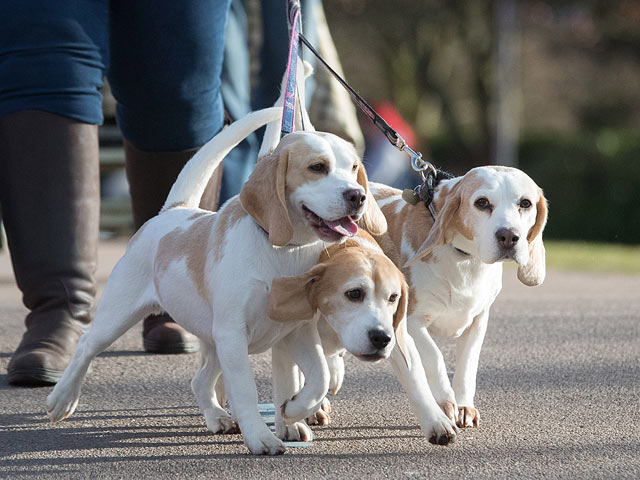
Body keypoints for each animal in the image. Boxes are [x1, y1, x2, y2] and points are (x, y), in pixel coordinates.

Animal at [47, 104, 388, 454]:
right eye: (317, 167)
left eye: (353, 168)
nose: (357, 196)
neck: (281, 251)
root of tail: (175, 211)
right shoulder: (233, 334)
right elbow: (246, 391)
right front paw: (261, 437)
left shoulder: (297, 332)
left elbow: (319, 377)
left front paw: (292, 413)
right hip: (121, 314)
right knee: (87, 345)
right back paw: (62, 398)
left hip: (212, 339)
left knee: (199, 381)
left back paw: (217, 417)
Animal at [268, 231, 458, 444]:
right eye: (354, 293)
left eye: (393, 297)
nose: (381, 338)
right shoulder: (289, 336)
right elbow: (306, 380)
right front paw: (291, 418)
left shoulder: (398, 337)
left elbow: (416, 381)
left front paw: (436, 420)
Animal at [368, 168, 548, 428]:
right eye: (482, 203)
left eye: (525, 203)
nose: (508, 237)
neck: (464, 259)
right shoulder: (411, 322)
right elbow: (434, 357)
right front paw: (445, 402)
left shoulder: (478, 321)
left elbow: (467, 366)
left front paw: (463, 405)